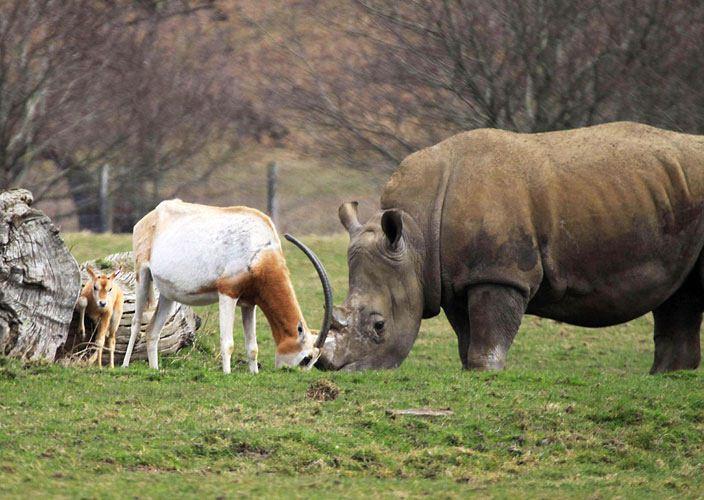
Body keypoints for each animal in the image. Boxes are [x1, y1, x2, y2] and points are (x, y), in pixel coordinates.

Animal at [121, 198, 332, 372]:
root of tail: (151, 215)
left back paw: (155, 370)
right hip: (142, 275)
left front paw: (254, 373)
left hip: (168, 295)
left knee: (152, 330)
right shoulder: (227, 293)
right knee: (136, 322)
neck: (260, 250)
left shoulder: (249, 303)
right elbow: (227, 343)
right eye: (306, 358)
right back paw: (124, 366)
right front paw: (227, 374)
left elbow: (253, 347)